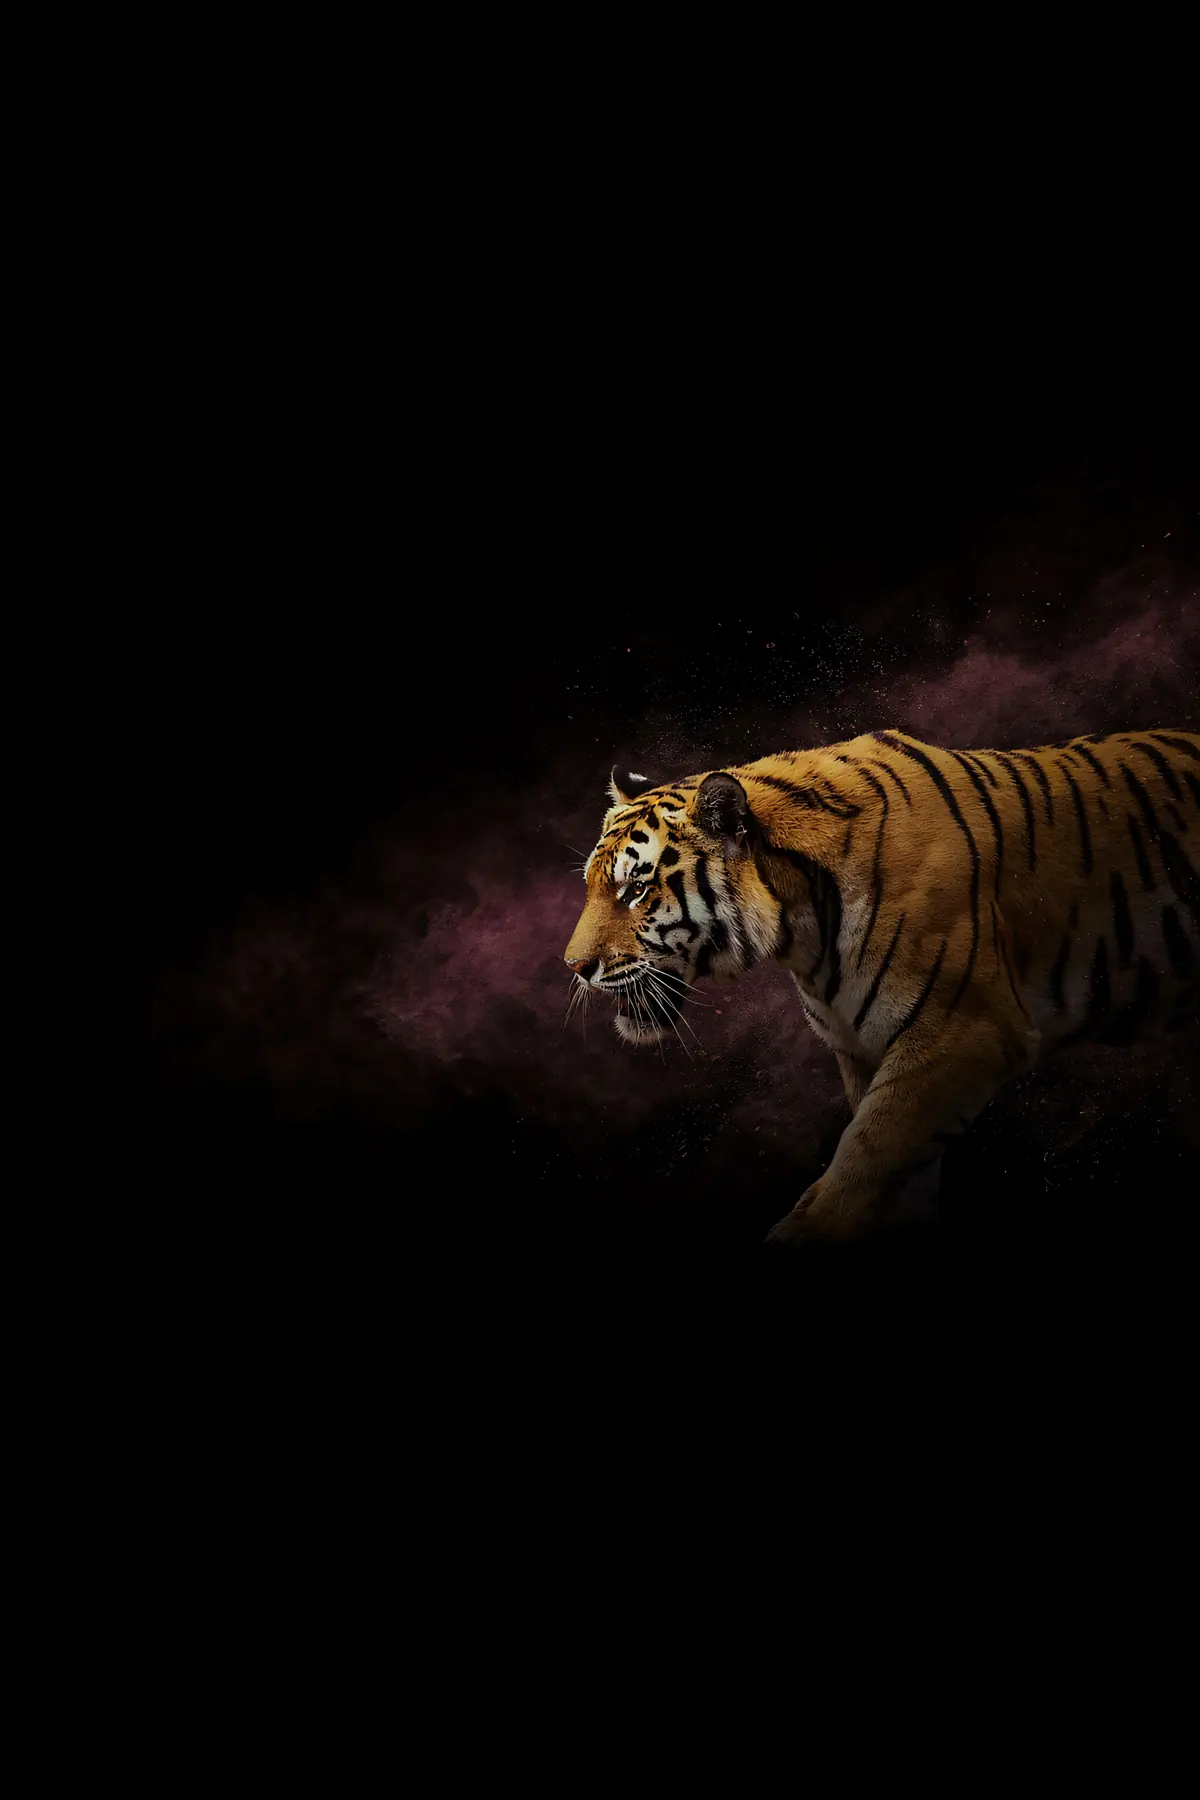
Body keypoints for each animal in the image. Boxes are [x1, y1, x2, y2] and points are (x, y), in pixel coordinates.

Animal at [563, 729, 1200, 1247]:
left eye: (635, 889)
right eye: (594, 885)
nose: (573, 966)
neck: (803, 931)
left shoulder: (963, 1034)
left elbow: (865, 1153)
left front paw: (807, 1231)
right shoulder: (864, 1049)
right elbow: (893, 1168)